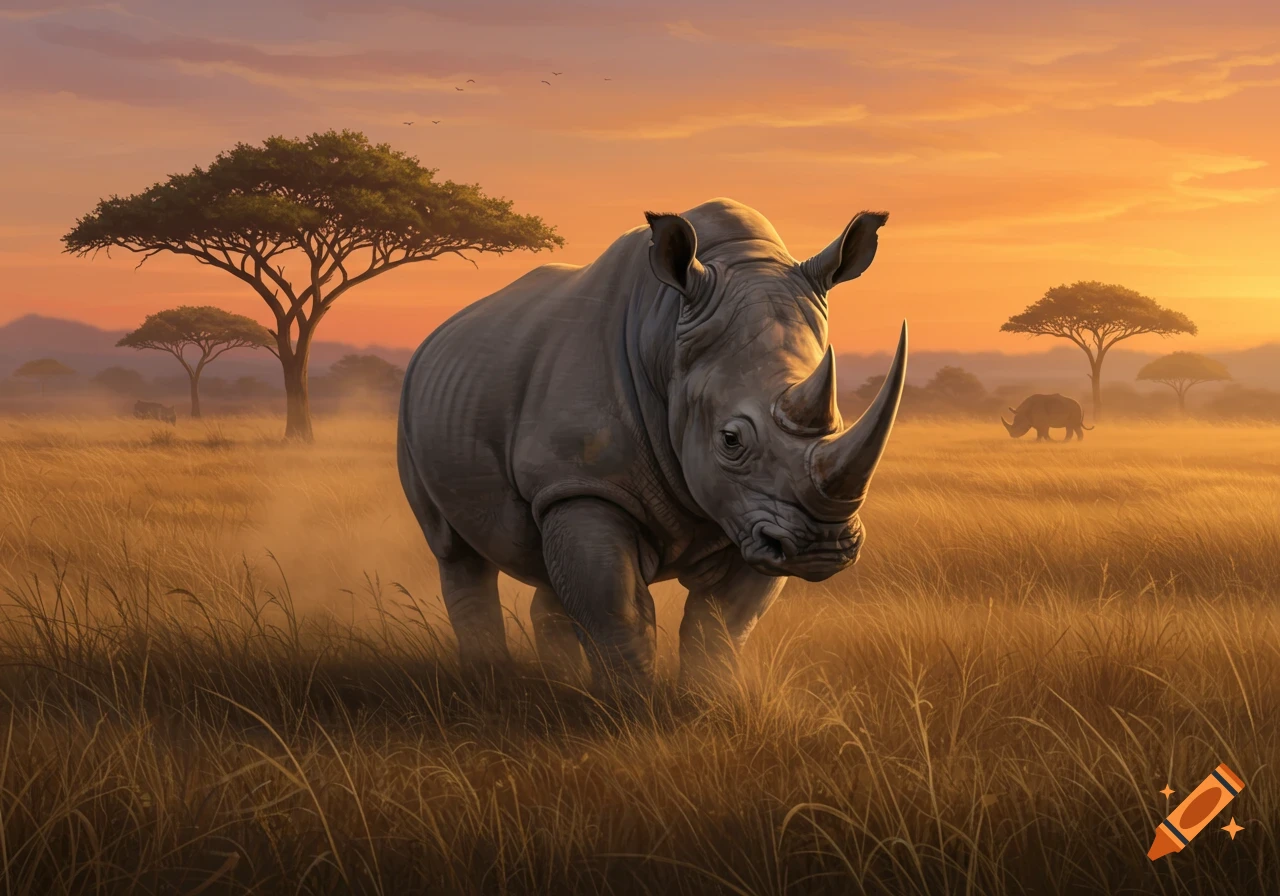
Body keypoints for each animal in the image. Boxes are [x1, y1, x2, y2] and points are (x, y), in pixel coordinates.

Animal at [398, 198, 907, 691]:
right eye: (730, 440)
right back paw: (490, 677)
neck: (668, 337)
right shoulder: (585, 482)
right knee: (454, 551)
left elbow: (720, 624)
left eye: (838, 422)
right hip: (414, 403)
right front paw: (629, 709)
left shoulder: (759, 512)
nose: (822, 547)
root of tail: (436, 335)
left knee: (548, 570)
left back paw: (558, 681)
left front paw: (709, 703)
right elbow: (616, 610)